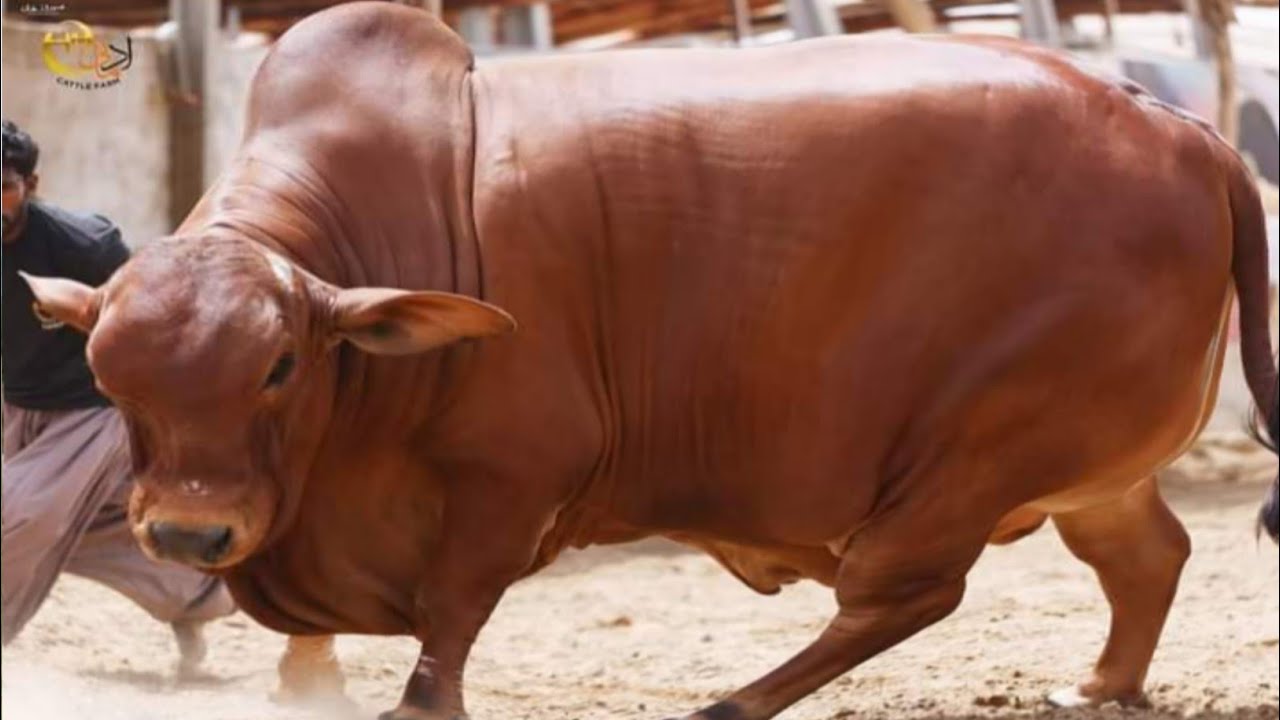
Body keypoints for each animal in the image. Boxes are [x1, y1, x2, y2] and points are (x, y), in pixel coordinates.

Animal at [22, 3, 1278, 719]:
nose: (191, 536)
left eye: (281, 366)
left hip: (967, 456)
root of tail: (1181, 130)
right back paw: (1103, 685)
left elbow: (446, 630)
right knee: (1144, 555)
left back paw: (729, 707)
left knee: (904, 592)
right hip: (1087, 469)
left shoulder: (511, 479)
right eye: (111, 378)